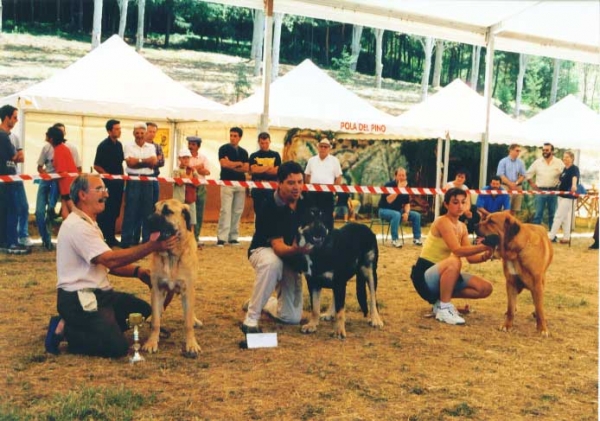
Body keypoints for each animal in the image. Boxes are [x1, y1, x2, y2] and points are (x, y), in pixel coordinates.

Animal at [142, 199, 202, 356]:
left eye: (167, 211)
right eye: (154, 209)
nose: (148, 220)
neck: (171, 256)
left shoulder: (187, 290)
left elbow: (187, 323)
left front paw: (191, 344)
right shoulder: (157, 289)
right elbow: (156, 322)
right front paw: (152, 342)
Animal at [292, 208, 382, 340]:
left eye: (324, 218)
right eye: (310, 216)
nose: (320, 230)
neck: (320, 250)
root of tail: (365, 227)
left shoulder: (339, 282)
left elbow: (340, 311)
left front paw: (339, 330)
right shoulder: (313, 283)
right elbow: (315, 307)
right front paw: (312, 325)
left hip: (370, 271)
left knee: (372, 297)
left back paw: (375, 319)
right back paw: (329, 313)